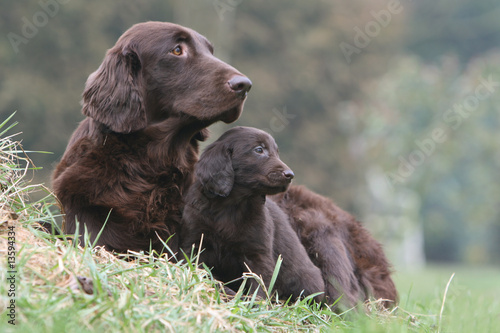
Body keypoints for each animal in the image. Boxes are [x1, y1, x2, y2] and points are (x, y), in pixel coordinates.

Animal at [182, 126, 326, 300]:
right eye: (259, 150)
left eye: (276, 152)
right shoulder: (195, 243)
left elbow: (259, 287)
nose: (290, 175)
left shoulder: (258, 254)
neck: (231, 205)